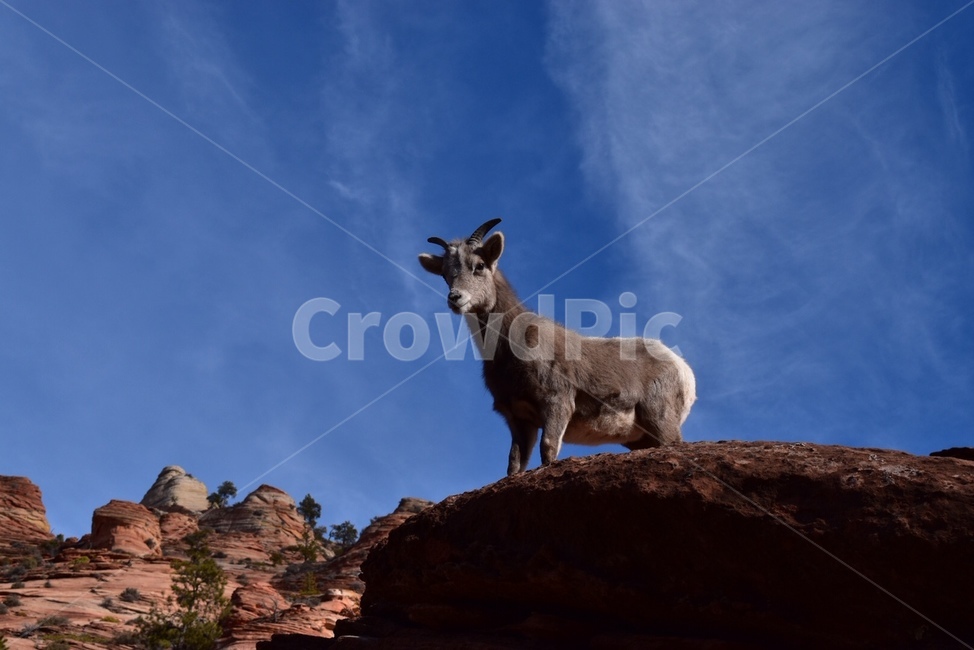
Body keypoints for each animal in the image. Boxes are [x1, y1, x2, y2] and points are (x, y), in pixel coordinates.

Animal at [419, 218, 696, 476]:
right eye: (445, 274)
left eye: (479, 266)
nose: (455, 298)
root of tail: (683, 369)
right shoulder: (519, 420)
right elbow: (514, 464)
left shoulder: (556, 403)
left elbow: (549, 449)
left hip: (660, 420)